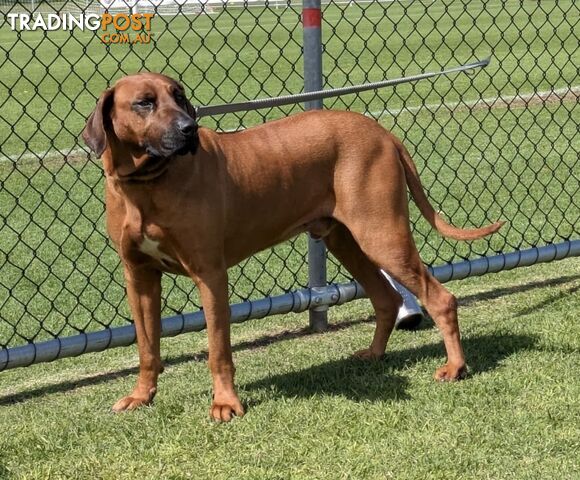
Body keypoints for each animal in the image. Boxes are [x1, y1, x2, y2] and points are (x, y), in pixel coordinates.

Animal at [81, 71, 502, 420]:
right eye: (144, 102)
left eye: (179, 96)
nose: (190, 129)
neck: (146, 184)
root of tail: (382, 132)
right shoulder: (139, 277)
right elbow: (147, 346)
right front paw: (142, 396)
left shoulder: (209, 274)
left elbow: (219, 349)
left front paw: (225, 403)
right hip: (344, 240)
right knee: (386, 297)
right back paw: (374, 354)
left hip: (382, 236)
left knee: (440, 298)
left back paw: (455, 367)